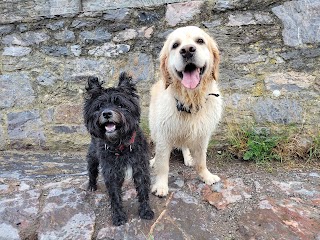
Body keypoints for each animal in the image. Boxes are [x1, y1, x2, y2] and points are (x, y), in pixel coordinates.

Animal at [84, 72, 155, 226]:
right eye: (99, 107)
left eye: (120, 104)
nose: (106, 113)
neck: (121, 144)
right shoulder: (111, 172)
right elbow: (115, 195)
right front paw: (118, 216)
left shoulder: (140, 168)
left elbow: (143, 190)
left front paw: (146, 211)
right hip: (92, 156)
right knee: (92, 170)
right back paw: (91, 185)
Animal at [149, 25, 222, 197]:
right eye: (175, 45)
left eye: (200, 41)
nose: (187, 50)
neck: (191, 101)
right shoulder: (163, 135)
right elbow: (163, 164)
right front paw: (161, 185)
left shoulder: (203, 135)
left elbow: (202, 160)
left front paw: (206, 176)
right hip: (154, 128)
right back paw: (154, 160)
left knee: (184, 145)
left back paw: (188, 157)